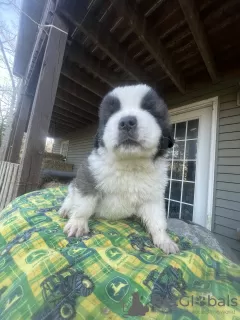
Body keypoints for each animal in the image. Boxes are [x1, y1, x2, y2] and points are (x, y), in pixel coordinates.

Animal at [59, 84, 179, 254]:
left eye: (149, 108)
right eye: (112, 113)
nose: (127, 122)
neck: (130, 164)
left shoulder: (153, 197)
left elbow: (157, 220)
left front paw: (164, 240)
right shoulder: (89, 175)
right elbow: (84, 204)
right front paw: (78, 223)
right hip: (74, 185)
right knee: (70, 197)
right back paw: (65, 209)